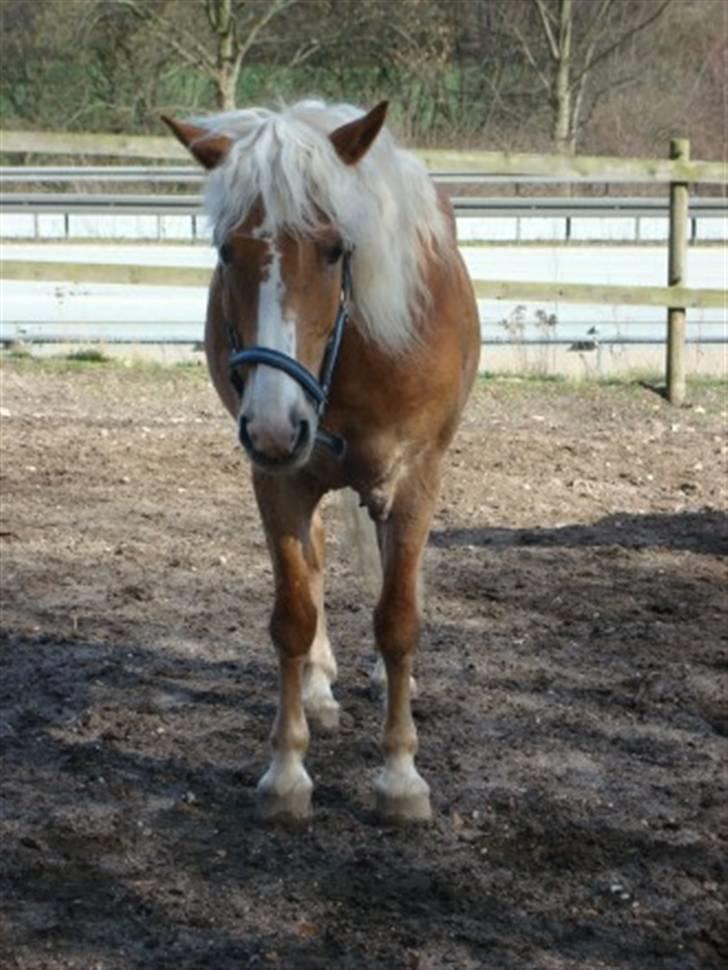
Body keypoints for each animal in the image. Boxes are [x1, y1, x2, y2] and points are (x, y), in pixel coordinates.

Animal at [163, 98, 480, 820]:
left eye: (336, 250)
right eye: (225, 250)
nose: (275, 424)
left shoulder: (416, 480)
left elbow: (398, 619)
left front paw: (401, 776)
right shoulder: (277, 480)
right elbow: (294, 614)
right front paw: (287, 770)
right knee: (317, 564)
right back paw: (319, 686)